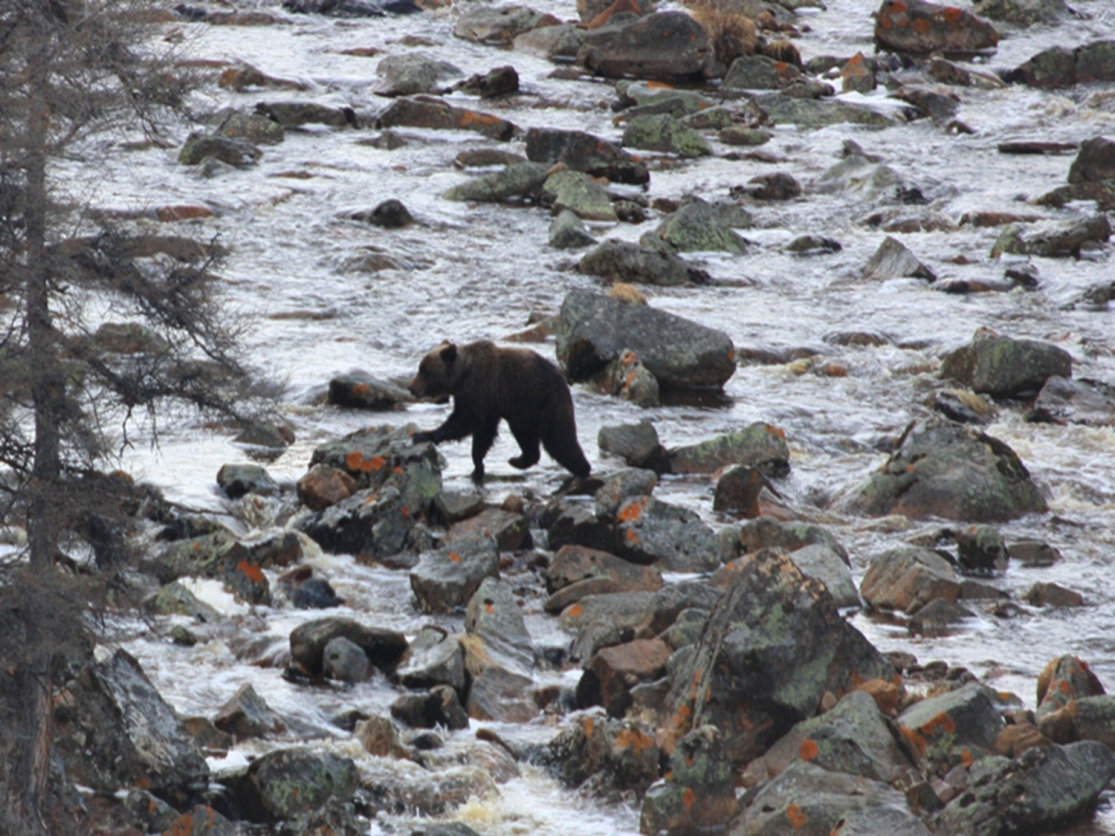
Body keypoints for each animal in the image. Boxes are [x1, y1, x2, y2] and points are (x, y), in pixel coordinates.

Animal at [408, 340, 591, 484]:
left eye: (424, 370)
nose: (411, 388)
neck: (462, 376)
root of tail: (563, 380)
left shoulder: (479, 390)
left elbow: (465, 420)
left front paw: (423, 434)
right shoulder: (490, 405)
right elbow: (483, 434)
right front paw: (478, 468)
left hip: (545, 404)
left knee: (559, 440)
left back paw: (583, 469)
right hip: (523, 413)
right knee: (527, 438)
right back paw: (517, 460)